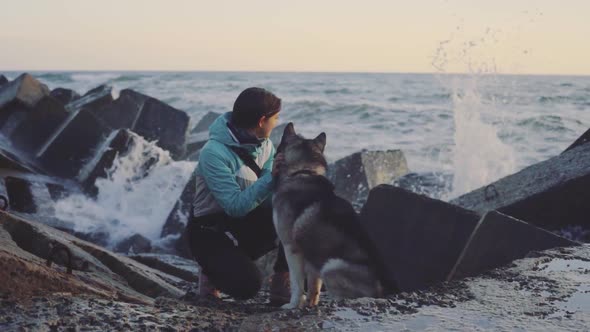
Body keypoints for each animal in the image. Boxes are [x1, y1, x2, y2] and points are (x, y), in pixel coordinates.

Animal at [272, 122, 384, 308]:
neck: (302, 172)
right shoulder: (310, 255)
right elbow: (313, 285)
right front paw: (310, 303)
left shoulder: (291, 248)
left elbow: (296, 284)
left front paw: (293, 304)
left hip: (331, 265)